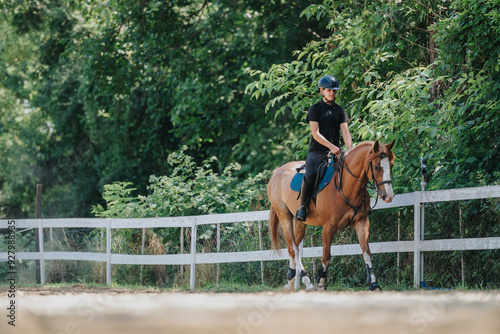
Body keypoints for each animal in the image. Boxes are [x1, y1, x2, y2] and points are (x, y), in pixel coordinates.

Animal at [268, 140, 396, 290]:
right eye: (376, 167)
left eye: (391, 165)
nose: (389, 196)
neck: (345, 186)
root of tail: (277, 172)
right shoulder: (328, 227)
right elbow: (326, 256)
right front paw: (321, 282)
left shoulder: (362, 223)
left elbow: (367, 253)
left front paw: (374, 283)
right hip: (284, 217)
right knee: (294, 248)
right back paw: (307, 281)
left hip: (299, 222)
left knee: (293, 248)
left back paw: (291, 280)